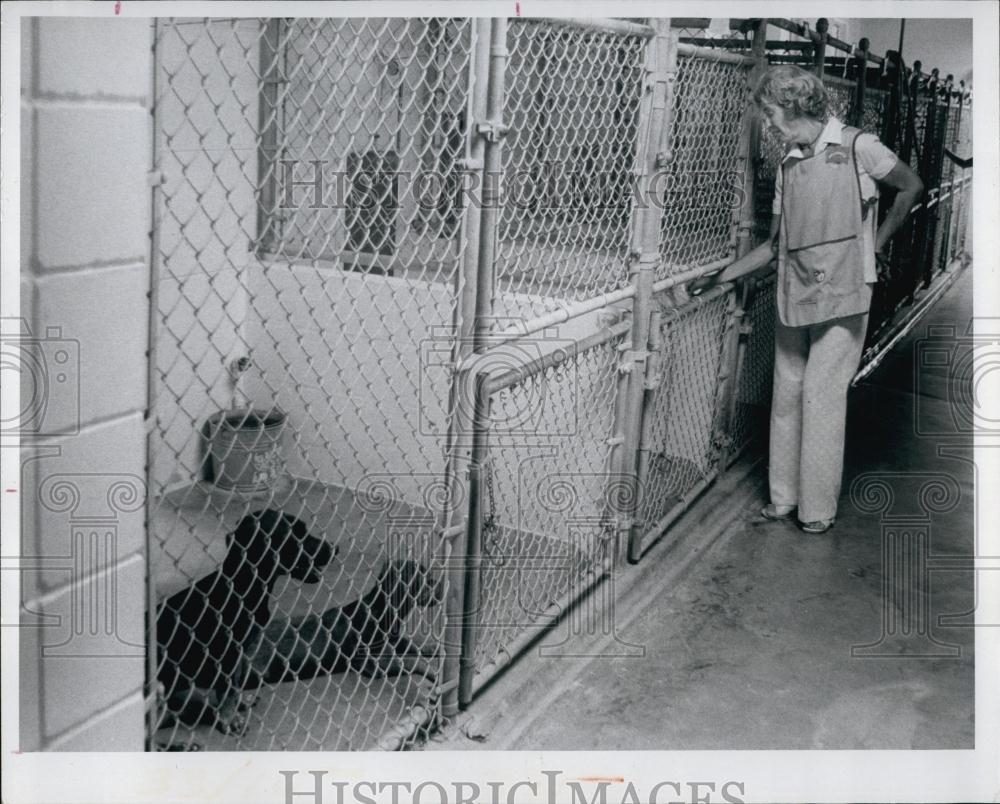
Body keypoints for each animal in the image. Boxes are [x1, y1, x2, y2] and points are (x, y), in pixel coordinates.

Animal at [156, 508, 334, 736]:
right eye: (295, 535)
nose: (335, 548)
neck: (242, 588)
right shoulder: (226, 653)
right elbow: (227, 689)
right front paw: (230, 719)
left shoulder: (241, 651)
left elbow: (236, 684)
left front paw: (240, 703)